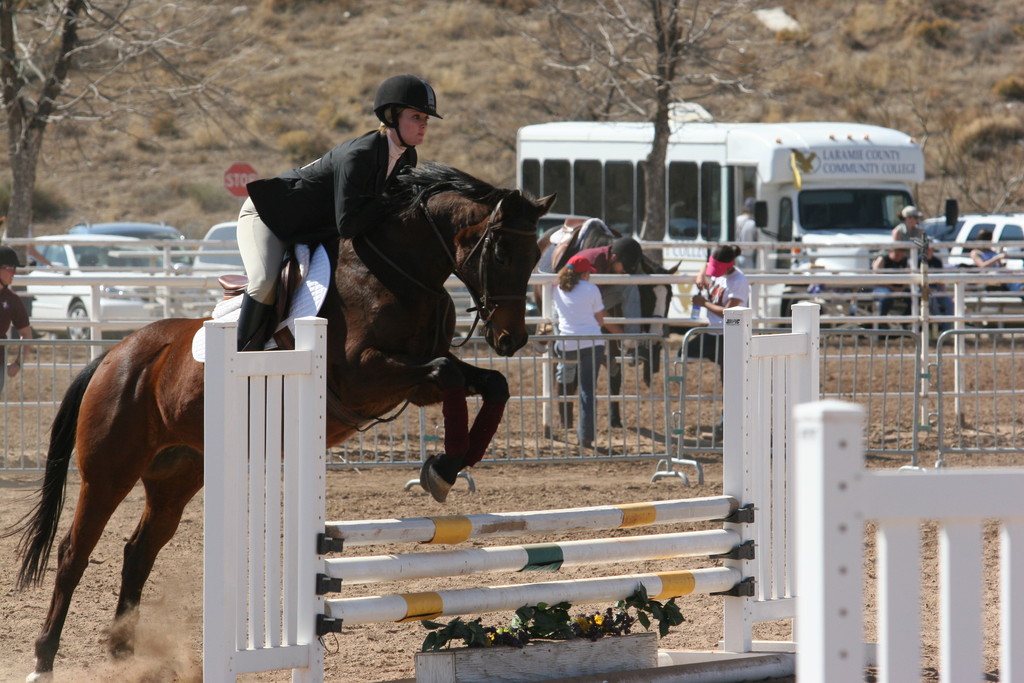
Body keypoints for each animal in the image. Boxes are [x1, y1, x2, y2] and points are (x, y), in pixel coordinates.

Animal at [4, 162, 557, 679]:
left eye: (535, 256)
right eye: (501, 253)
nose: (511, 339)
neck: (401, 273)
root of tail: (115, 354)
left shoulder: (416, 384)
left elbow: (489, 384)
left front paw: (448, 465)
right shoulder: (366, 375)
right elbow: (449, 372)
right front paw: (443, 468)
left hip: (176, 475)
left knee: (139, 553)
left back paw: (124, 655)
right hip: (109, 472)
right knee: (73, 553)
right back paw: (43, 659)